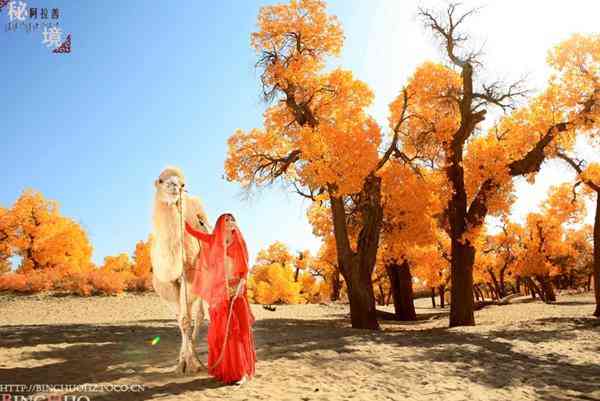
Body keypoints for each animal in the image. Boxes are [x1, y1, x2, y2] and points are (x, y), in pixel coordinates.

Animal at [150, 164, 211, 374]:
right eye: (161, 180)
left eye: (183, 183)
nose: (174, 186)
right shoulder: (166, 285)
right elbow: (180, 321)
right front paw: (181, 362)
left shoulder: (188, 278)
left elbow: (186, 321)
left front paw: (191, 363)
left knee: (200, 316)